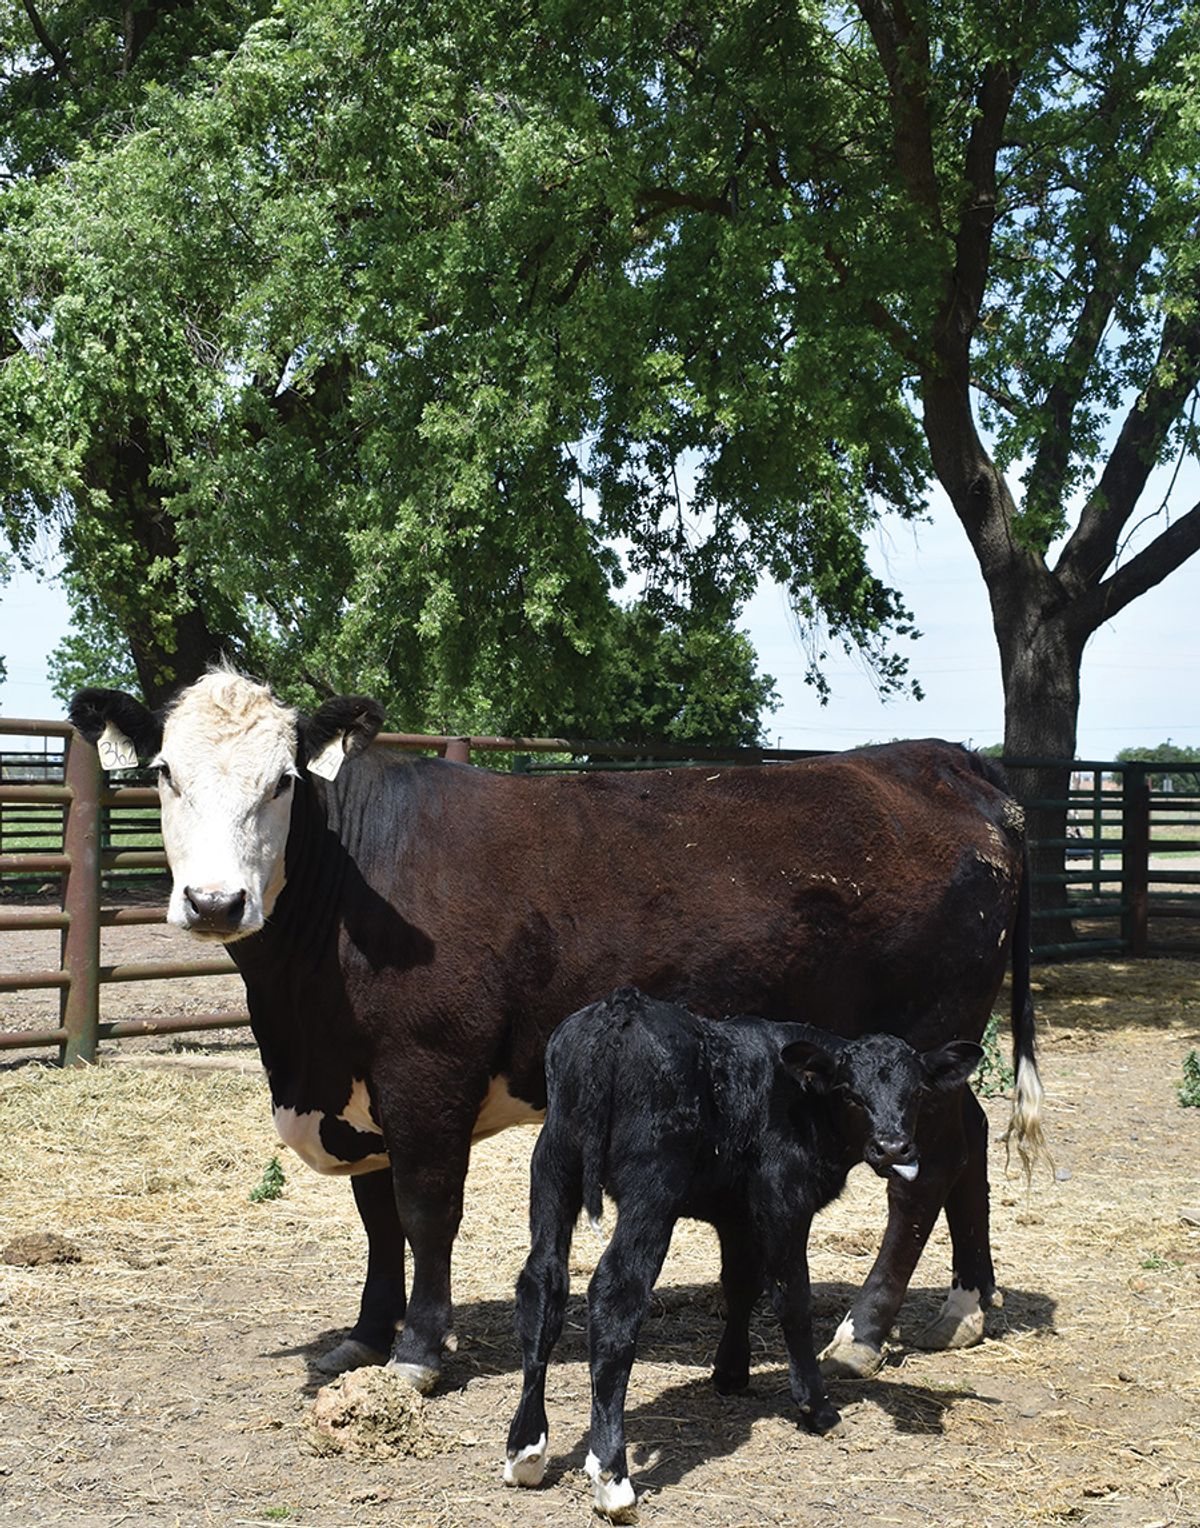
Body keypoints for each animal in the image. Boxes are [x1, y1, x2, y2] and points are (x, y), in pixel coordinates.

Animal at [68, 669, 1039, 1399]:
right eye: (165, 774)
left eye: (282, 782)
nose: (215, 902)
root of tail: (940, 762)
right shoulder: (356, 1086)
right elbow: (376, 1219)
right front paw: (365, 1336)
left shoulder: (427, 1072)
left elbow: (424, 1210)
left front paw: (418, 1350)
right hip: (932, 1059)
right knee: (971, 1143)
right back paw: (966, 1305)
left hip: (917, 1039)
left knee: (924, 1176)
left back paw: (864, 1332)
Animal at [504, 984, 984, 1509]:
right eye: (849, 1093)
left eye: (916, 1092)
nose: (893, 1148)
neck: (802, 1100)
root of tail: (621, 1009)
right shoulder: (782, 1199)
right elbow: (792, 1298)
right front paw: (816, 1407)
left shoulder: (737, 1213)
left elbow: (739, 1284)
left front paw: (731, 1373)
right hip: (651, 1185)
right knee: (616, 1294)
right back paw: (613, 1477)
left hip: (553, 1163)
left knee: (542, 1282)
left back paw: (525, 1450)